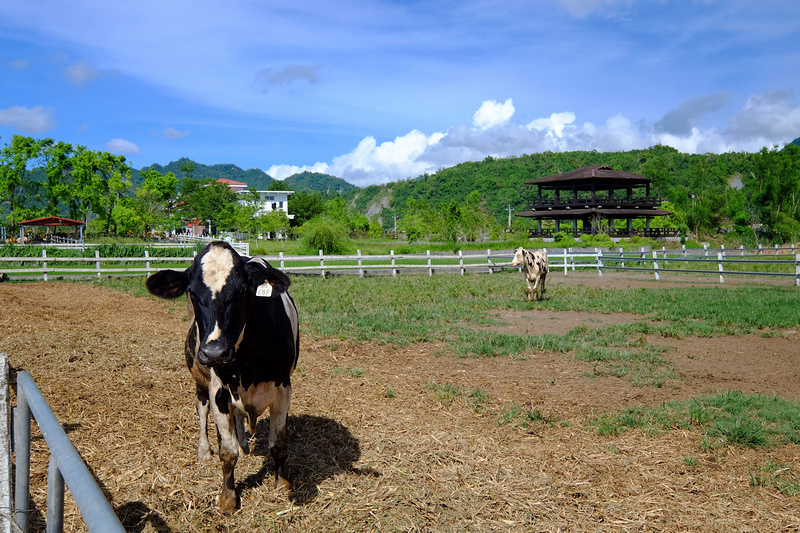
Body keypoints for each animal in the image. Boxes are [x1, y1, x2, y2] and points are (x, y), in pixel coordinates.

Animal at [145, 242, 298, 512]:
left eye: (242, 290)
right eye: (192, 293)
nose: (214, 352)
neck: (249, 363)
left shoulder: (283, 389)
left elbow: (279, 445)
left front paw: (283, 485)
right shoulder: (219, 392)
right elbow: (227, 452)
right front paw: (228, 498)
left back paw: (244, 445)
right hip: (201, 383)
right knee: (202, 411)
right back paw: (204, 450)